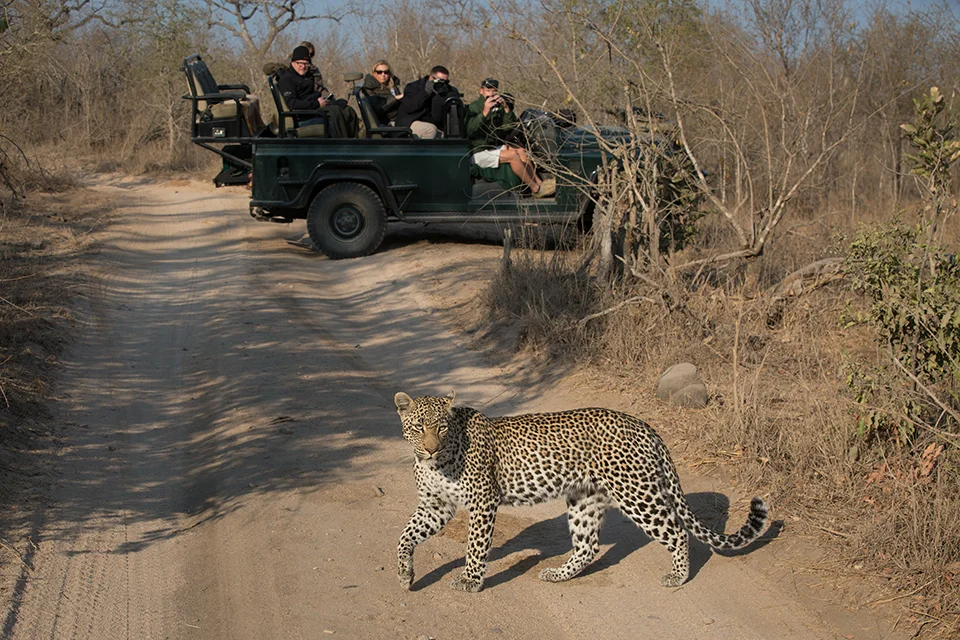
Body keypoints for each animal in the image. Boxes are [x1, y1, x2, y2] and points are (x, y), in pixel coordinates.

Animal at [394, 391, 769, 593]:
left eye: (442, 427)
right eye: (418, 427)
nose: (430, 449)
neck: (438, 462)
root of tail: (643, 425)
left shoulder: (483, 502)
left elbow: (475, 547)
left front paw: (470, 581)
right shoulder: (436, 506)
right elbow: (405, 536)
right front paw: (404, 574)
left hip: (637, 493)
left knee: (677, 531)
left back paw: (678, 576)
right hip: (584, 498)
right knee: (588, 546)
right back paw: (558, 575)